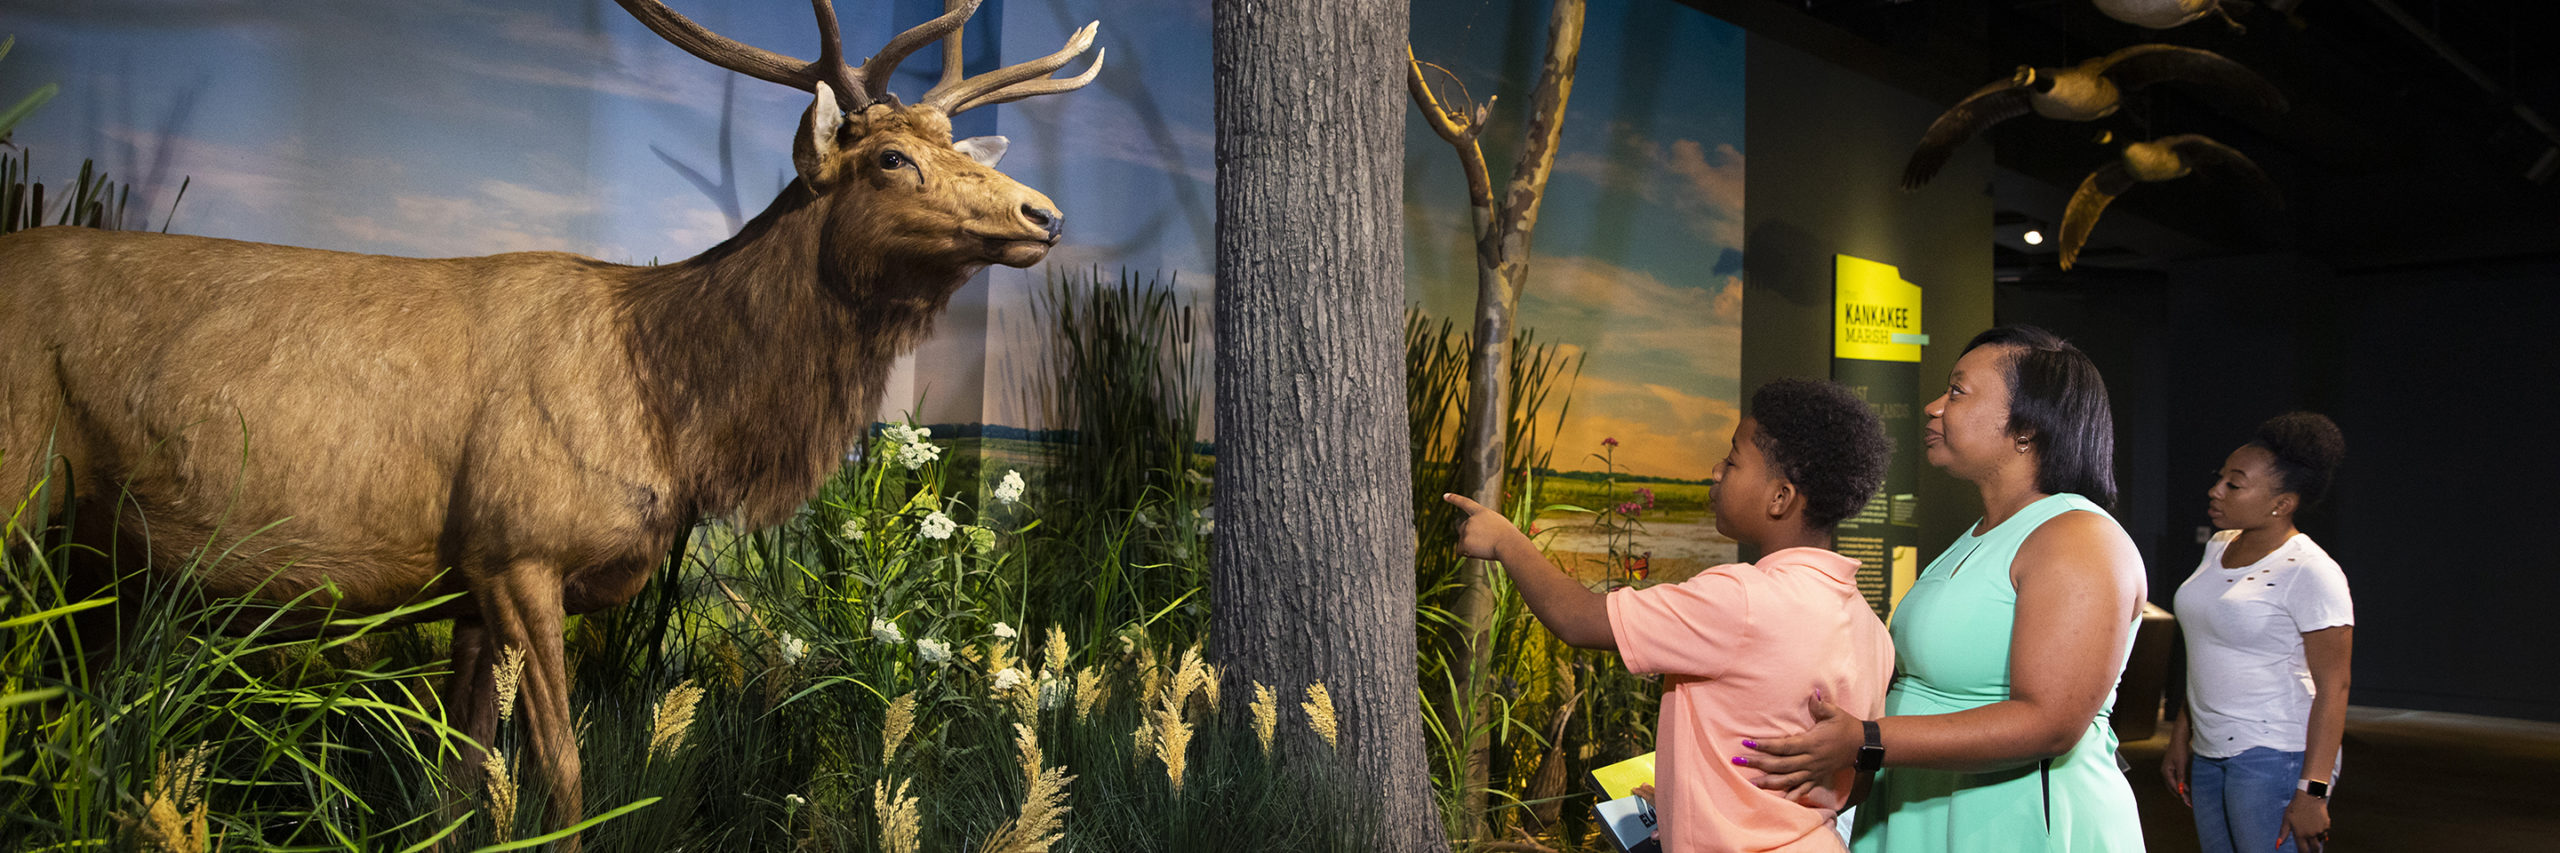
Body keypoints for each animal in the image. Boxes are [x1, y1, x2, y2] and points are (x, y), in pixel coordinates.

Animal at [0, 0, 1090, 840]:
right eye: (893, 158)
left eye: (955, 147)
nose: (1044, 213)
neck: (673, 413)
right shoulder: (519, 546)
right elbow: (562, 778)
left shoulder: (469, 583)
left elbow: (460, 783)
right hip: (23, 490)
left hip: (98, 559)